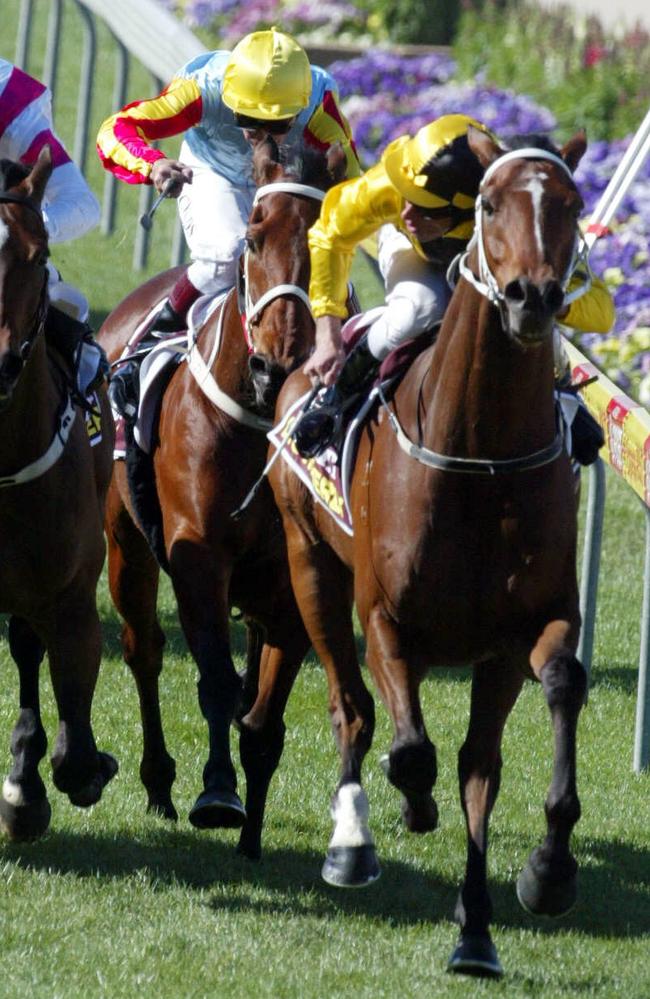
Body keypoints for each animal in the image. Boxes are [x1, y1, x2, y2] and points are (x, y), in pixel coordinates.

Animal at [97, 139, 344, 860]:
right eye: (254, 239)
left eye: (327, 240)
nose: (277, 364)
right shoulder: (198, 557)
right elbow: (216, 682)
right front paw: (217, 793)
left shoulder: (293, 582)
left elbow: (262, 717)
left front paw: (254, 833)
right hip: (124, 543)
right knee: (144, 648)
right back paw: (158, 781)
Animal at [266, 127, 588, 976]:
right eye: (489, 204)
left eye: (572, 204)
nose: (532, 299)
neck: (479, 452)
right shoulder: (386, 615)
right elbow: (411, 749)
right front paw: (407, 809)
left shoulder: (525, 630)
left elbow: (518, 732)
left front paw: (537, 879)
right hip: (309, 562)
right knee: (350, 708)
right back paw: (352, 840)